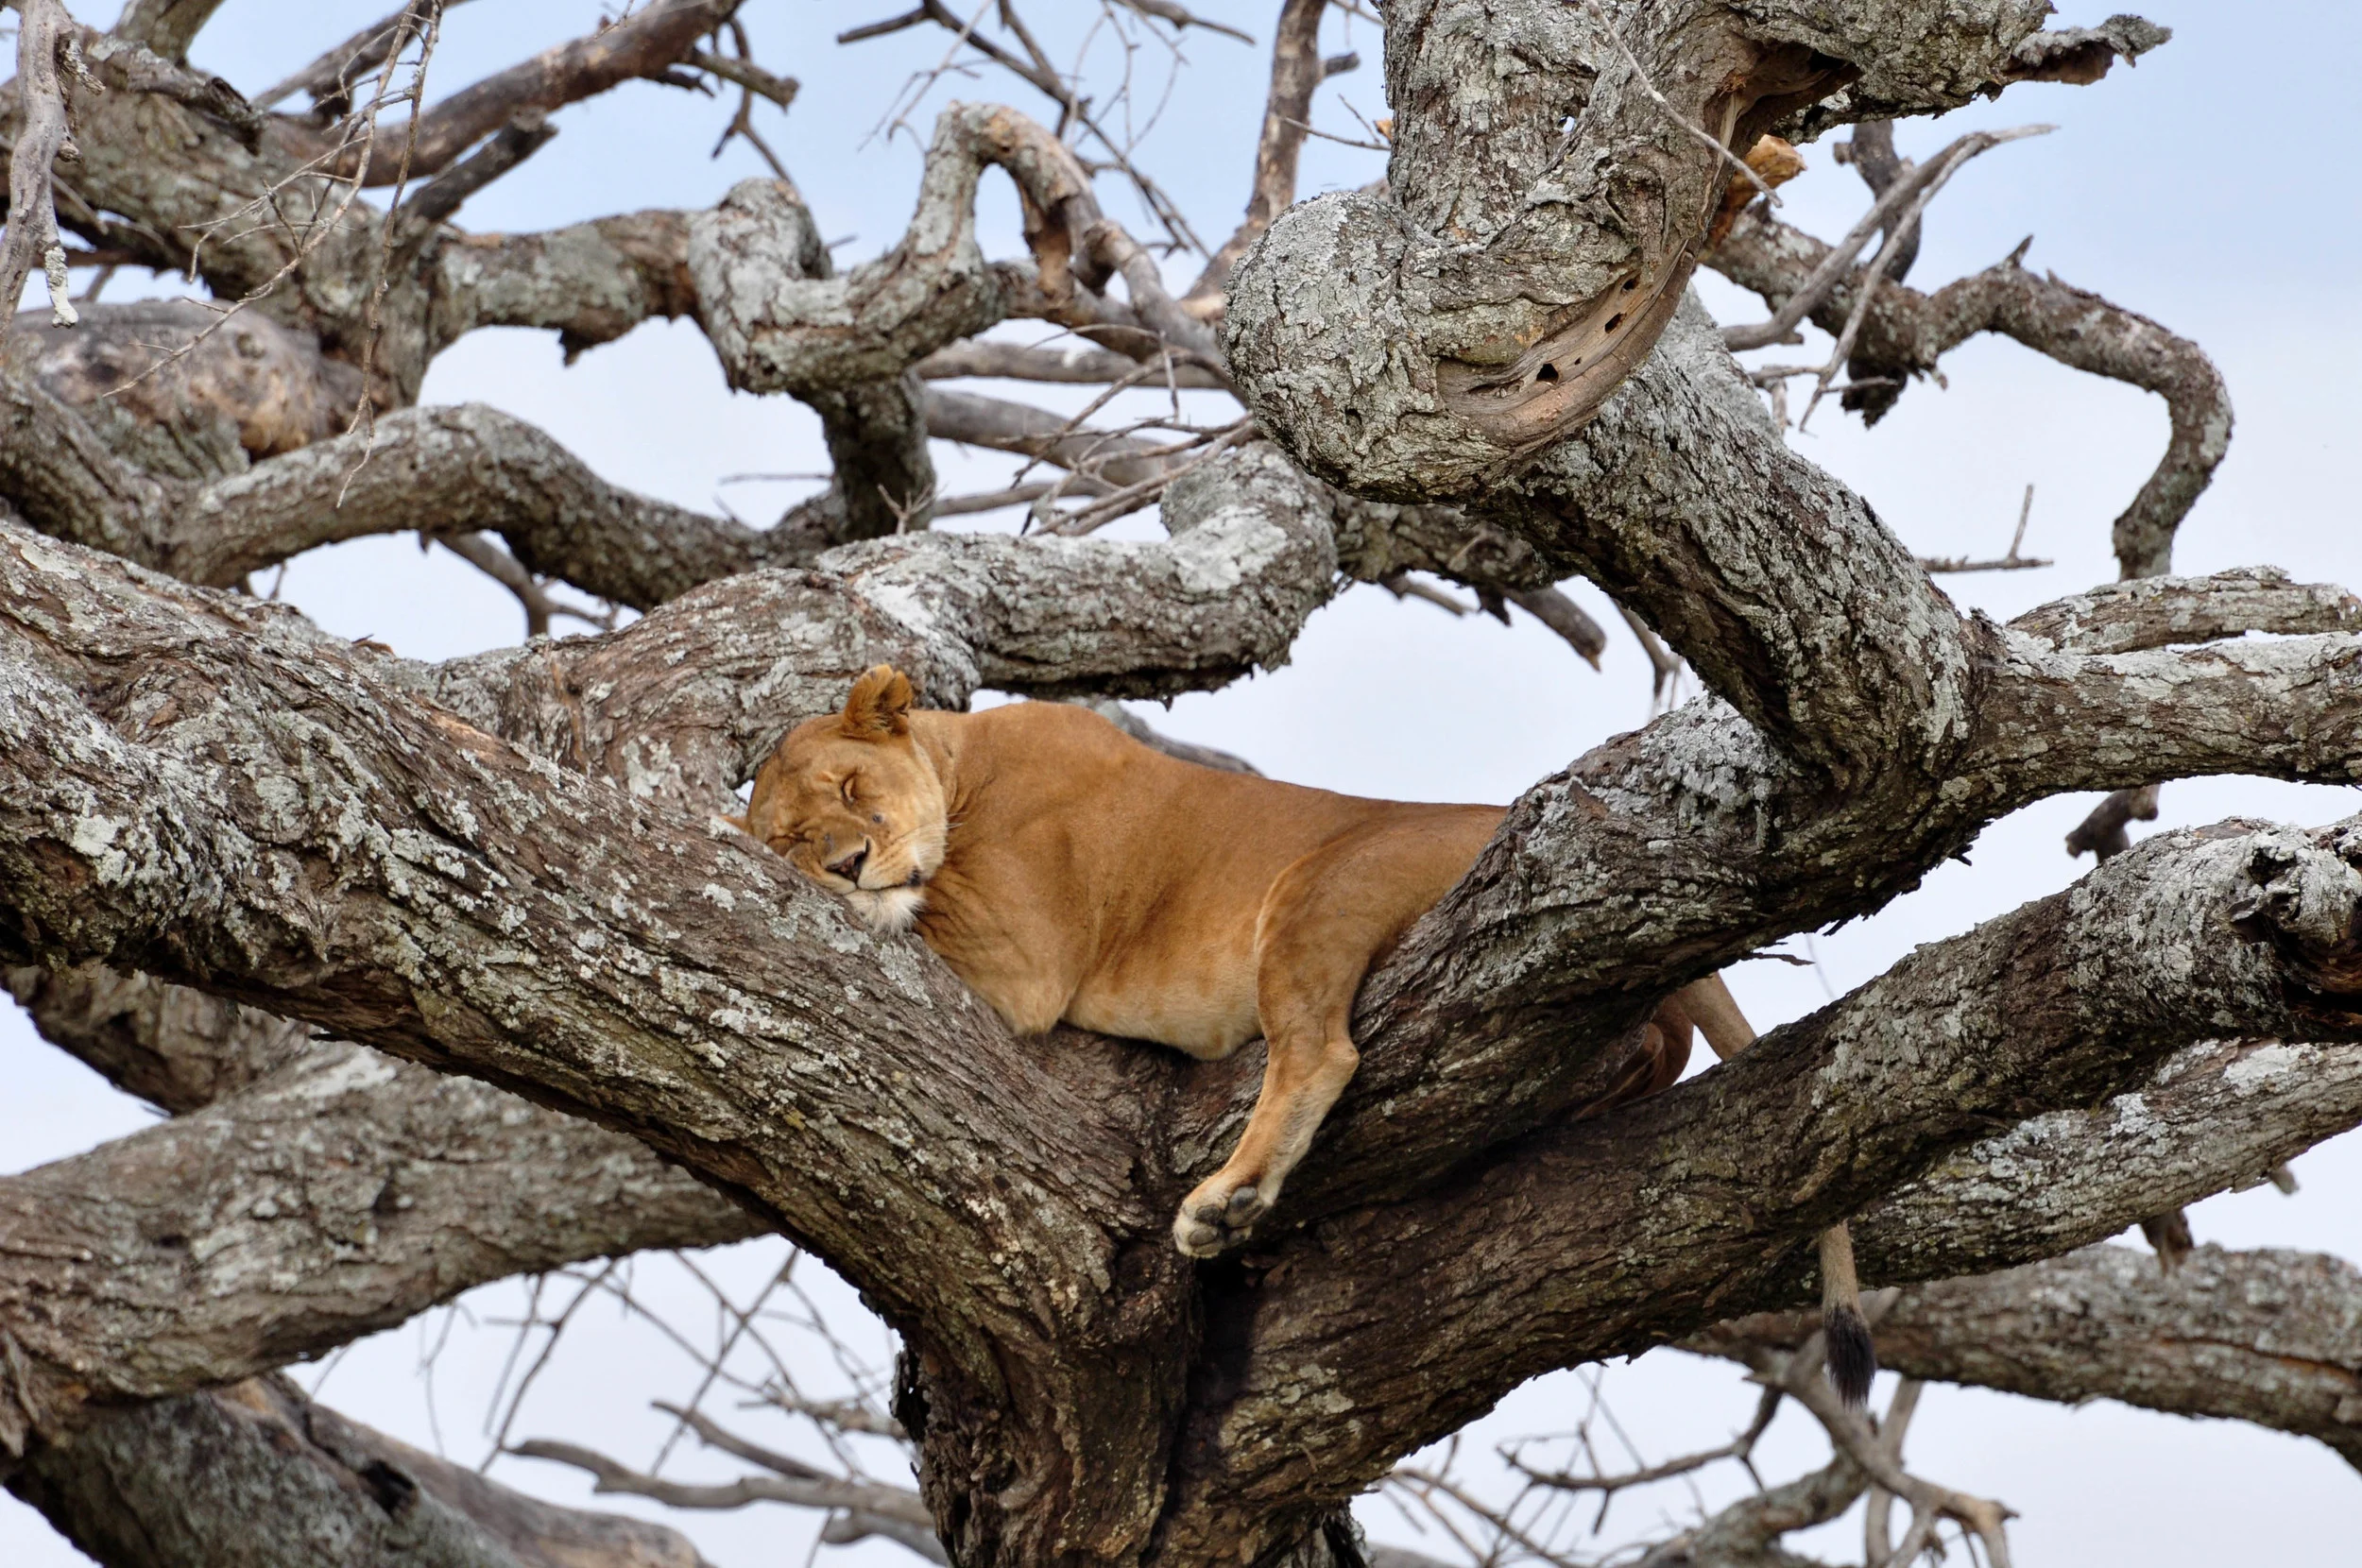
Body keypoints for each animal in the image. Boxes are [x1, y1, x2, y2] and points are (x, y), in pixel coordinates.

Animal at [733, 666, 1874, 1402]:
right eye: (790, 839)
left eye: (852, 790)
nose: (844, 864)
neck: (959, 760)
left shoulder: (1021, 955)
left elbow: (922, 915)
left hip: (1317, 885)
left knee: (1322, 1050)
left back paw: (1225, 1202)